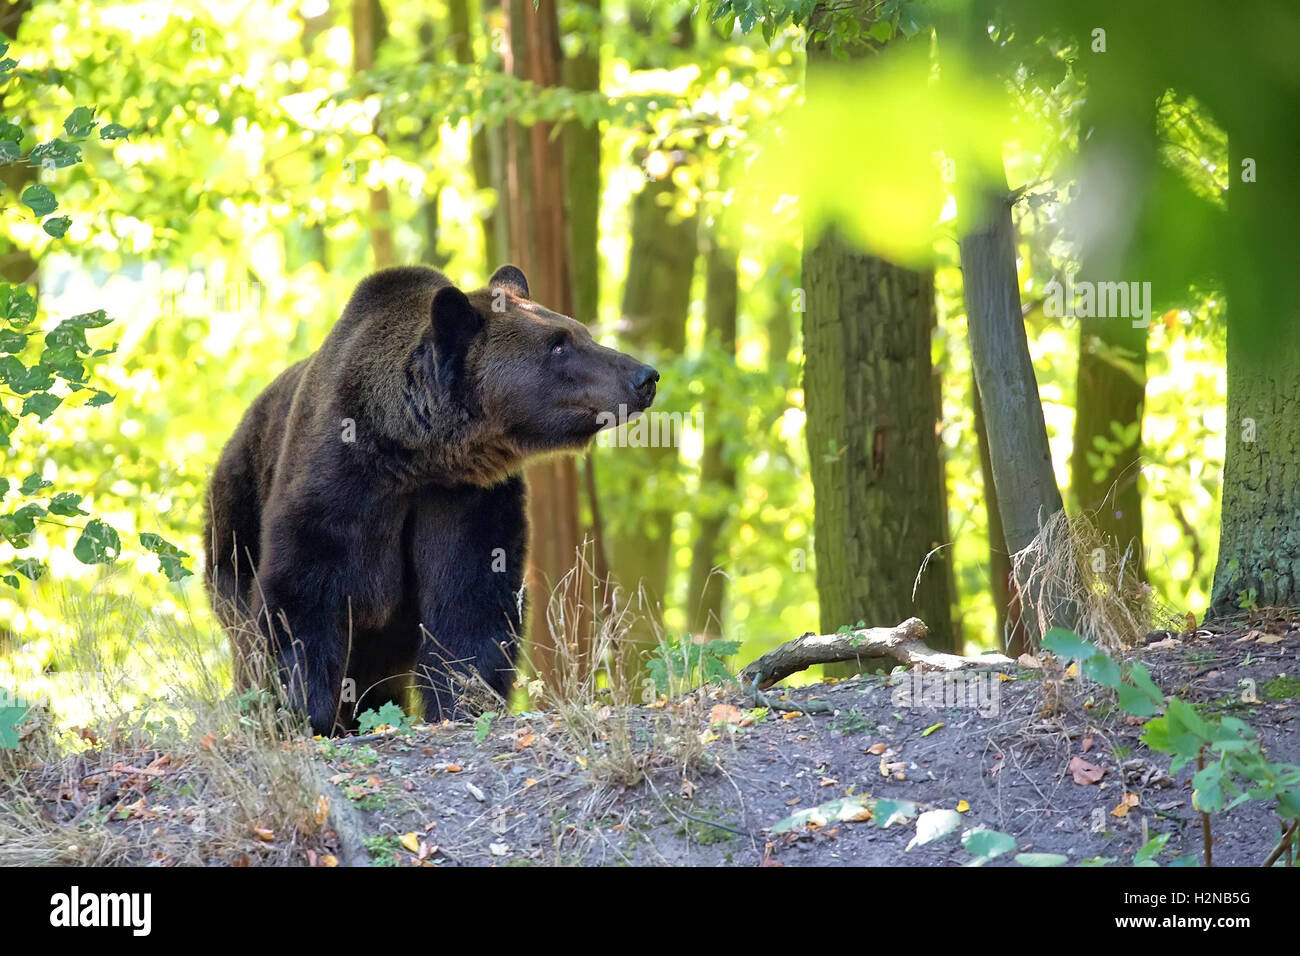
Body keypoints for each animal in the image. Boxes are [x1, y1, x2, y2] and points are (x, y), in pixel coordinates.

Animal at [204, 264, 658, 735]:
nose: (644, 376)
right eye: (558, 345)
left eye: (580, 332)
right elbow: (305, 587)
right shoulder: (341, 481)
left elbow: (470, 598)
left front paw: (462, 701)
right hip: (233, 525)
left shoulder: (466, 497)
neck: (415, 453)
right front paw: (302, 709)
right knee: (242, 625)